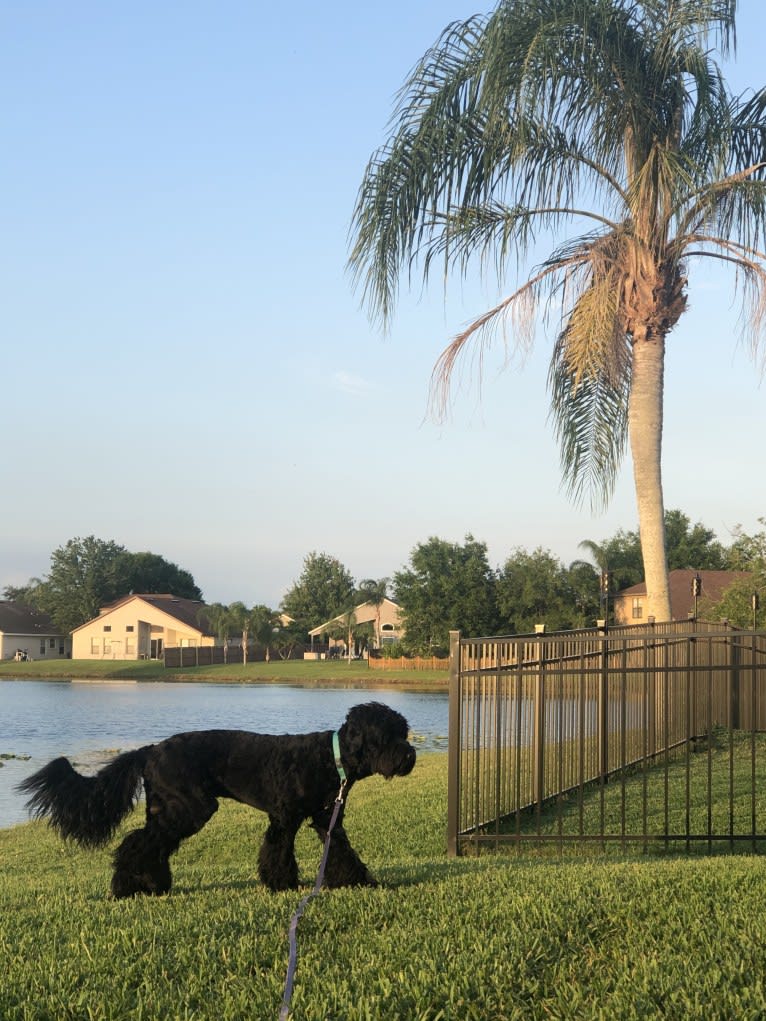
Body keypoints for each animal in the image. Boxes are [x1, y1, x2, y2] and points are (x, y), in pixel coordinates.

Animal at [16, 698, 414, 898]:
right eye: (388, 736)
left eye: (404, 733)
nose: (410, 756)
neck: (332, 758)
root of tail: (149, 751)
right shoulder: (284, 819)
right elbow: (278, 853)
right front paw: (282, 885)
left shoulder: (326, 819)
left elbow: (342, 853)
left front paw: (360, 882)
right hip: (189, 808)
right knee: (137, 844)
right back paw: (127, 888)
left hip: (168, 809)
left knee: (150, 845)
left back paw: (151, 885)